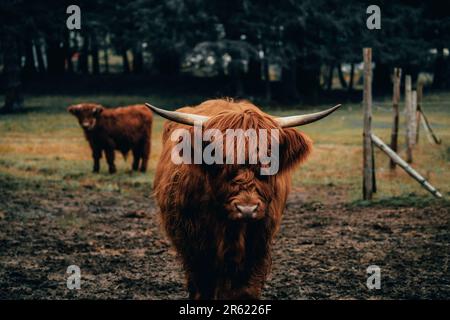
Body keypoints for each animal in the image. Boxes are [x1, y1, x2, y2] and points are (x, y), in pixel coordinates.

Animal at [149, 99, 342, 300]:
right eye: (217, 156)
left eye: (269, 157)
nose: (247, 209)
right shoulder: (195, 244)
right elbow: (204, 284)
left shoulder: (258, 242)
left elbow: (243, 288)